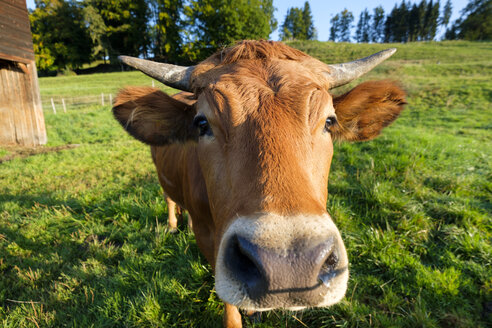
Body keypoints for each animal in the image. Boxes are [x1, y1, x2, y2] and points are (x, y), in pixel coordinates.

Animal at [113, 41, 406, 328]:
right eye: (202, 123)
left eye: (329, 121)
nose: (289, 266)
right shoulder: (209, 241)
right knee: (169, 198)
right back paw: (174, 225)